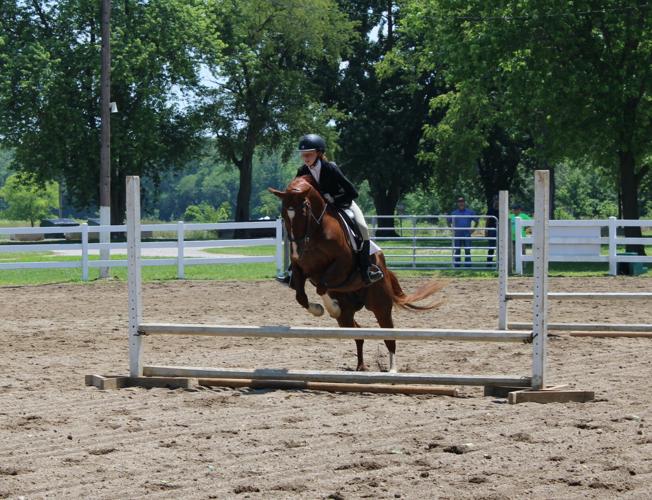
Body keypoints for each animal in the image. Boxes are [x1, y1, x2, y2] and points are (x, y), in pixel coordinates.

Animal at [268, 175, 443, 373]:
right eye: (284, 214)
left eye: (303, 211)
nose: (297, 249)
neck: (315, 231)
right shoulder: (301, 268)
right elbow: (301, 296)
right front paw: (318, 309)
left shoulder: (341, 265)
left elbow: (321, 287)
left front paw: (331, 307)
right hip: (348, 313)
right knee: (358, 332)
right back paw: (361, 366)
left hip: (380, 305)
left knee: (389, 336)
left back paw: (392, 369)